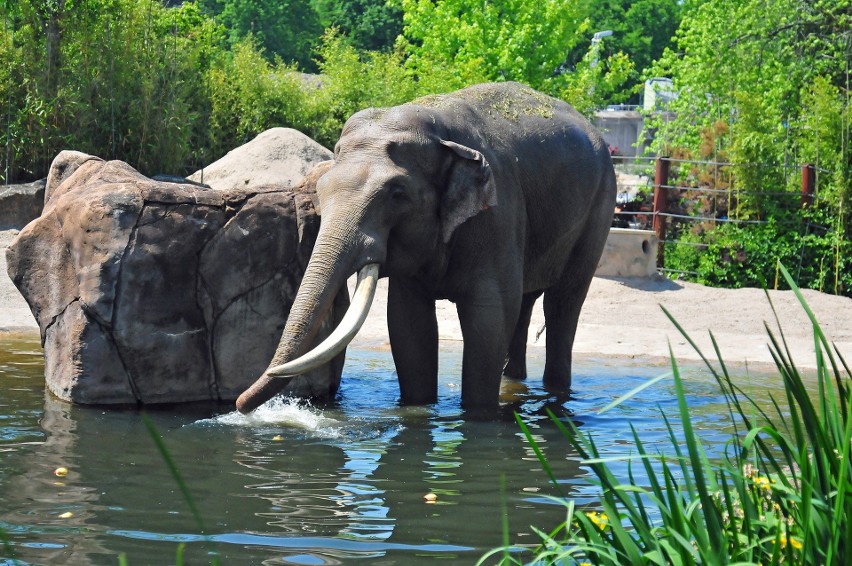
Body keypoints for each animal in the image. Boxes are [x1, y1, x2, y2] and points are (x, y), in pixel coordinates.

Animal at [236, 82, 616, 414]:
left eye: (397, 194)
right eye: (321, 189)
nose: (239, 404)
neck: (440, 129)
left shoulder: (497, 216)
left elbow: (488, 318)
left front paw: (478, 415)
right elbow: (408, 323)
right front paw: (418, 410)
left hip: (600, 207)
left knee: (562, 304)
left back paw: (557, 396)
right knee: (525, 304)